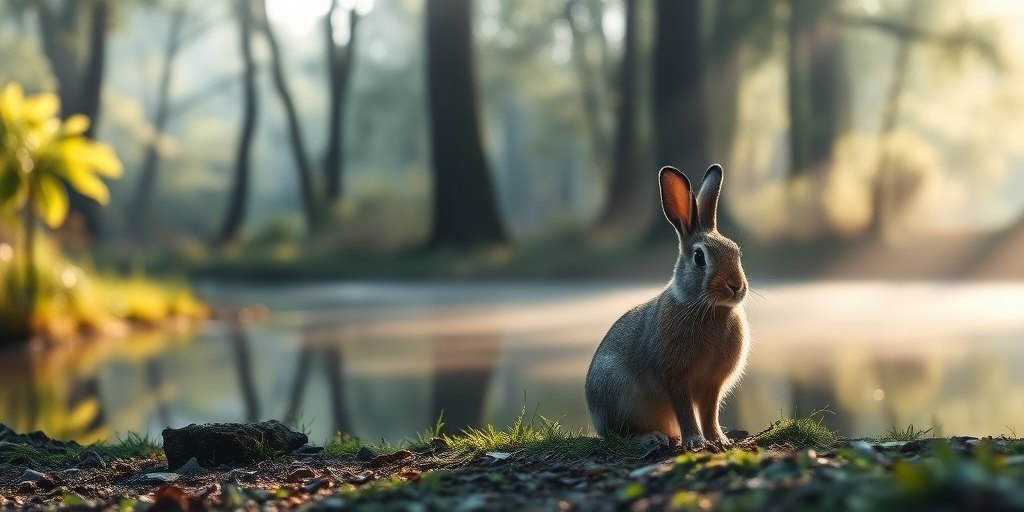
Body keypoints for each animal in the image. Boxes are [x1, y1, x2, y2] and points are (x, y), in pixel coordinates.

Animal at [585, 164, 750, 451]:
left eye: (736, 253)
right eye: (699, 258)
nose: (735, 286)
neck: (706, 308)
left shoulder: (712, 384)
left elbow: (710, 413)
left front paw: (720, 440)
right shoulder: (675, 379)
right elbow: (685, 411)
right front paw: (696, 442)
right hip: (618, 395)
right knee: (618, 435)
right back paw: (652, 438)